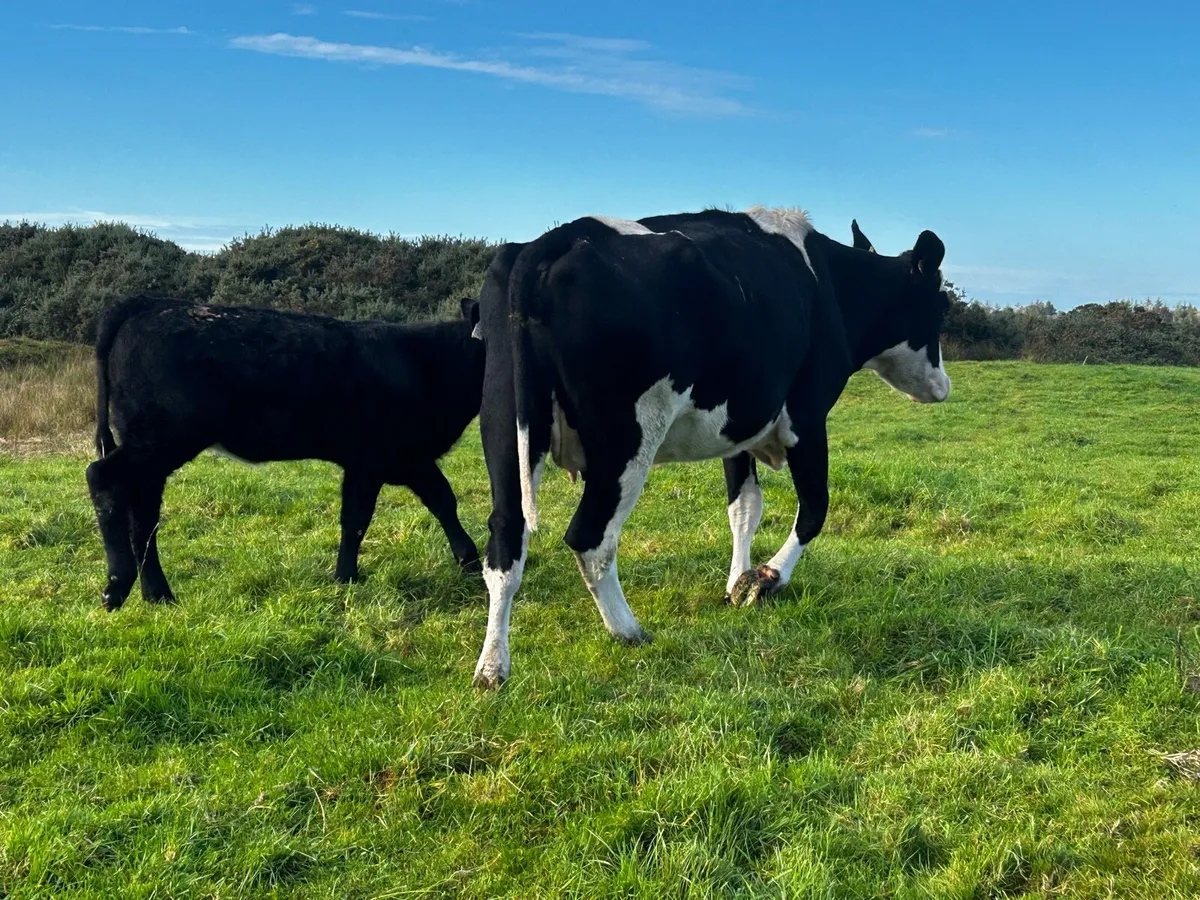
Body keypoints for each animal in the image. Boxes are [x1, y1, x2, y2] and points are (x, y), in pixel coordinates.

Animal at [85, 294, 485, 611]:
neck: (424, 363)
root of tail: (148, 303)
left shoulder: (394, 460)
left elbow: (432, 503)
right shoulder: (382, 458)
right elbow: (368, 517)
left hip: (154, 451)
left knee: (144, 517)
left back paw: (158, 595)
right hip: (162, 437)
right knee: (102, 477)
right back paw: (117, 585)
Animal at [468, 207, 952, 688]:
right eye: (940, 306)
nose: (943, 386)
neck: (830, 283)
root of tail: (554, 240)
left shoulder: (738, 429)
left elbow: (745, 507)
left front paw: (737, 581)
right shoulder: (807, 417)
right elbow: (815, 508)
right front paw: (765, 579)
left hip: (503, 422)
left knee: (505, 538)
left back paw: (493, 666)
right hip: (627, 439)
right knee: (590, 537)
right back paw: (629, 631)